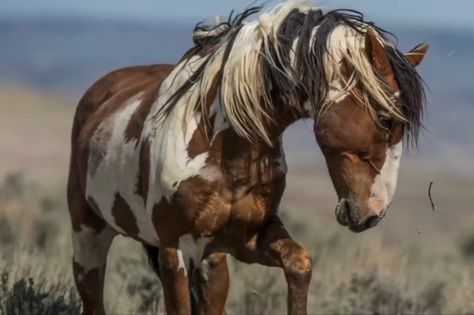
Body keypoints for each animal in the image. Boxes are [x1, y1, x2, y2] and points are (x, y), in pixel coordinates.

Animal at [67, 1, 430, 314]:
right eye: (386, 120)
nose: (373, 213)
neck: (224, 148)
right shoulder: (175, 250)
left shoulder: (239, 241)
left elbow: (300, 265)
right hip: (88, 239)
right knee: (93, 299)